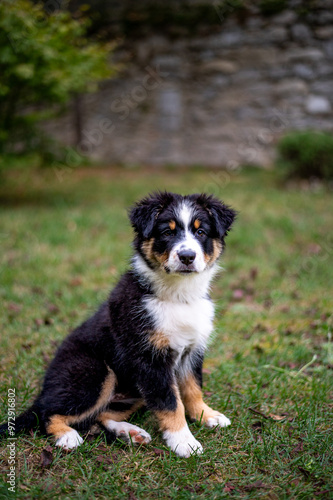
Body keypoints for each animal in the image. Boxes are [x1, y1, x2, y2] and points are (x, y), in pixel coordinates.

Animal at [0, 191, 235, 458]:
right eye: (167, 232)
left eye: (201, 232)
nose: (187, 257)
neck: (177, 295)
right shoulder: (150, 360)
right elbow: (170, 403)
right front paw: (184, 442)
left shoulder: (191, 350)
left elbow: (193, 388)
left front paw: (207, 415)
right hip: (94, 372)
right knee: (46, 413)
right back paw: (67, 436)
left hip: (133, 390)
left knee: (101, 414)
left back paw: (129, 432)